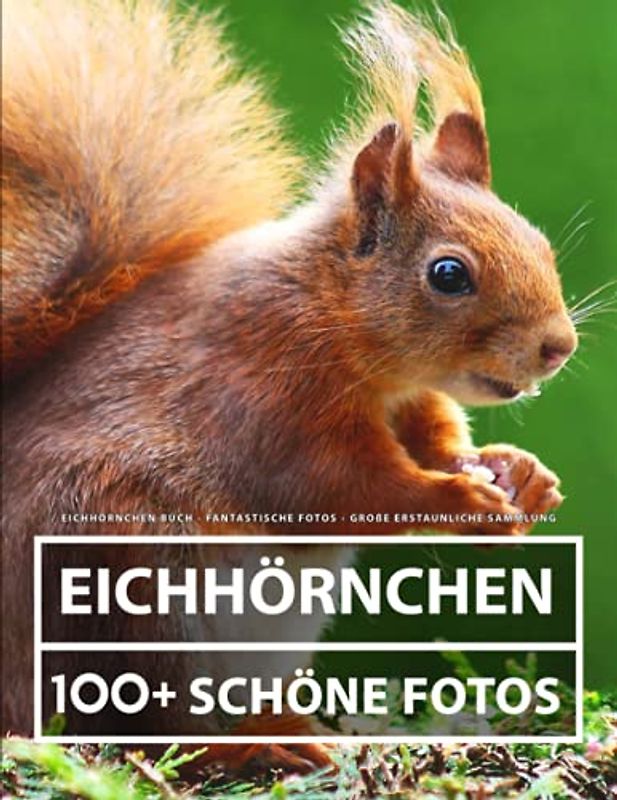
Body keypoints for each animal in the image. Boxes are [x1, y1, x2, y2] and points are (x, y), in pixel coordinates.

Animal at [2, 0, 578, 775]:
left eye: (538, 243)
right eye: (449, 274)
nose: (558, 346)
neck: (337, 320)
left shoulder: (409, 402)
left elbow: (433, 441)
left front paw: (520, 478)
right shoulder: (265, 393)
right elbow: (335, 490)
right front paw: (460, 501)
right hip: (121, 581)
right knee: (153, 723)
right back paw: (256, 744)